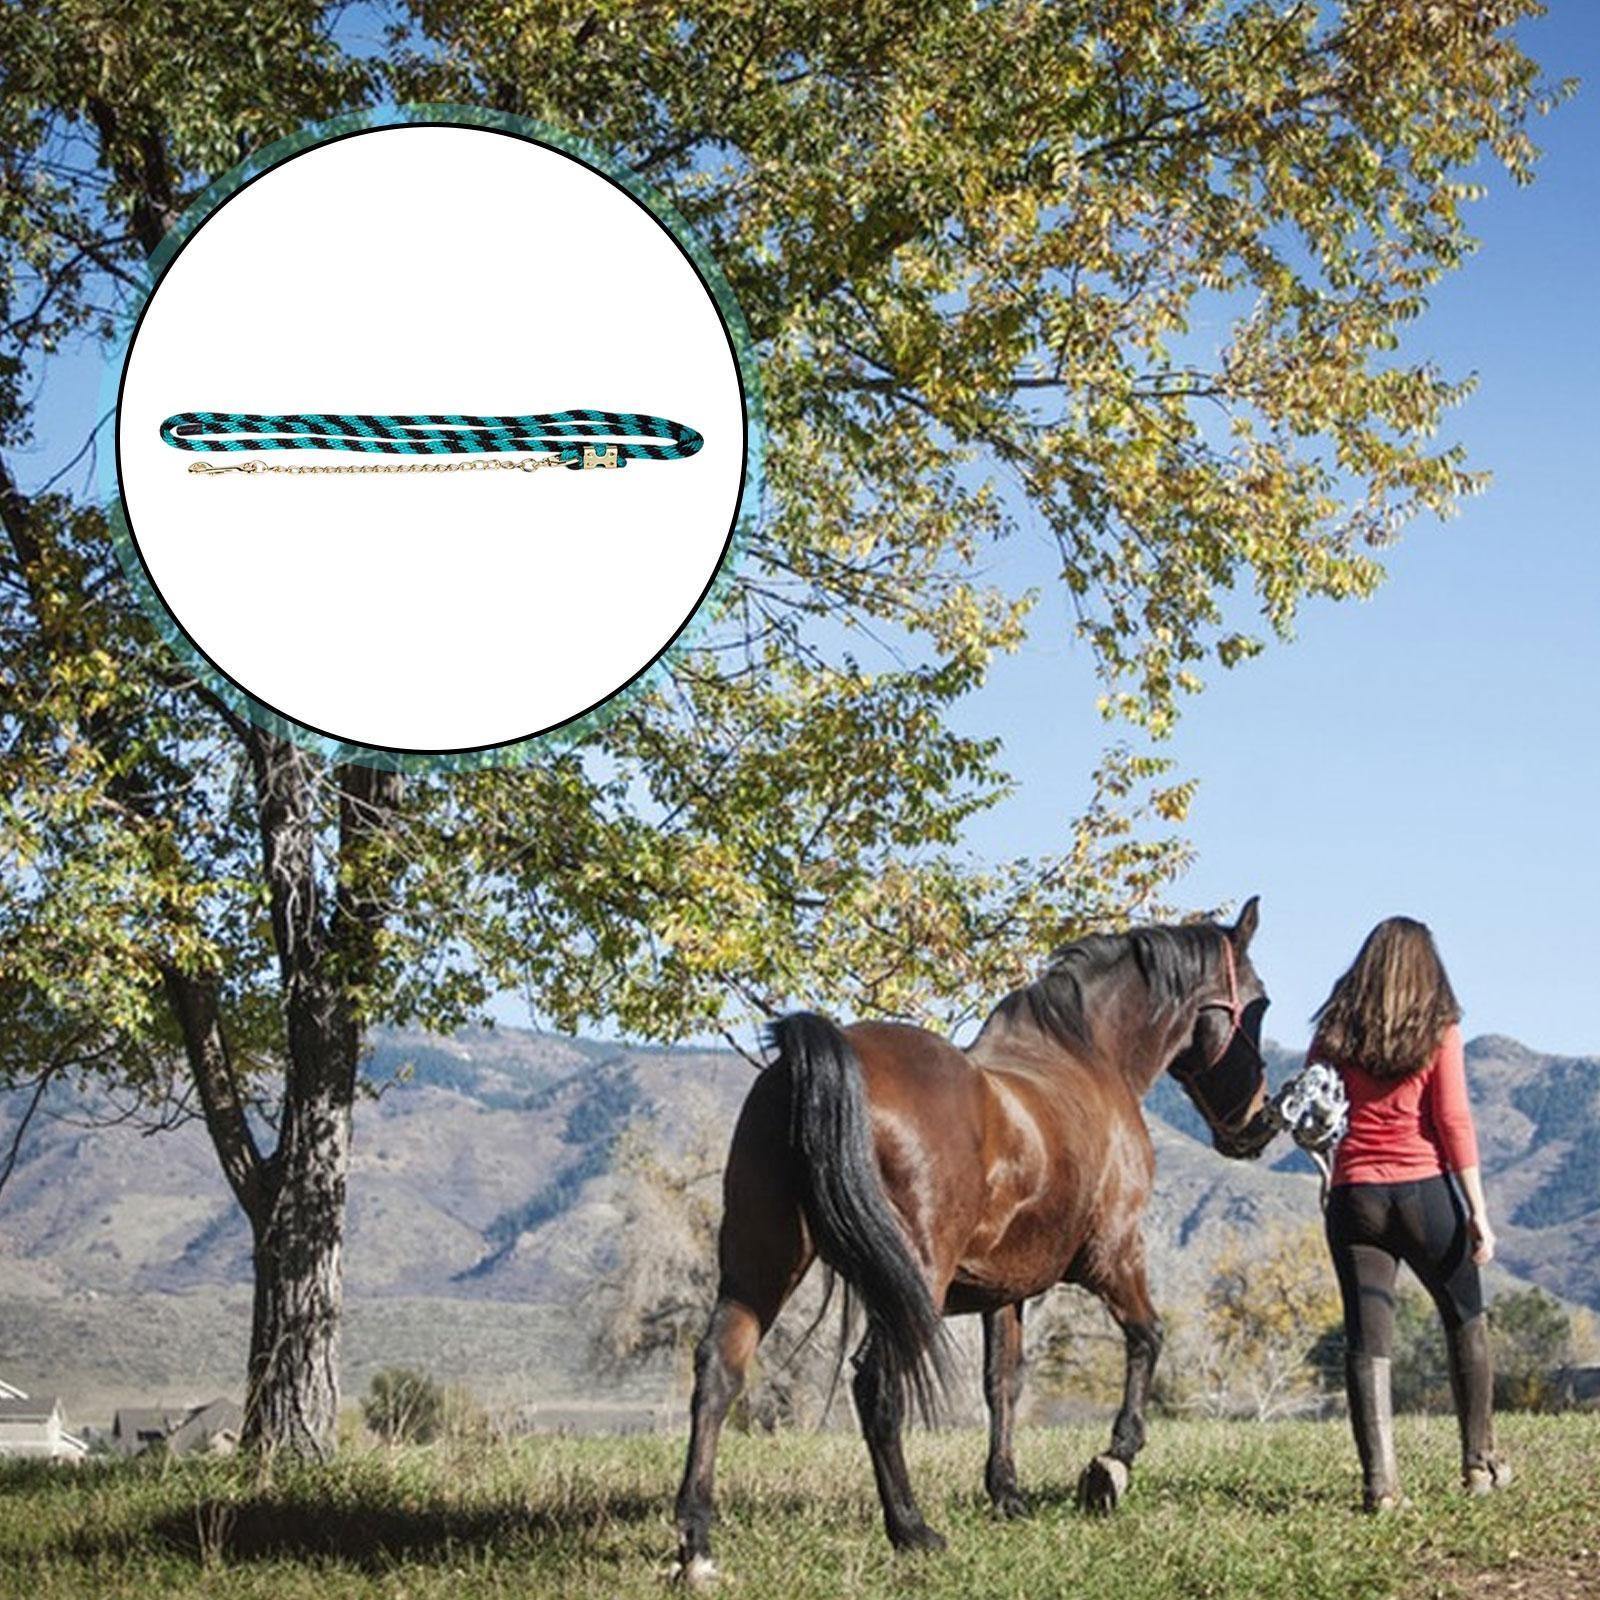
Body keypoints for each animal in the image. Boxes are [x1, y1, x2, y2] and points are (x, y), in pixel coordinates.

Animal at [672, 898, 1276, 1579]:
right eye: (1260, 1003)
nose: (1259, 1122)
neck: (1085, 1058)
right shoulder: (1114, 1254)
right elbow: (1148, 1337)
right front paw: (1112, 1463)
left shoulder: (1006, 1289)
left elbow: (1003, 1382)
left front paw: (1007, 1492)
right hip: (912, 1284)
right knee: (875, 1385)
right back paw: (911, 1529)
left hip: (761, 1265)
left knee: (719, 1370)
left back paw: (697, 1542)